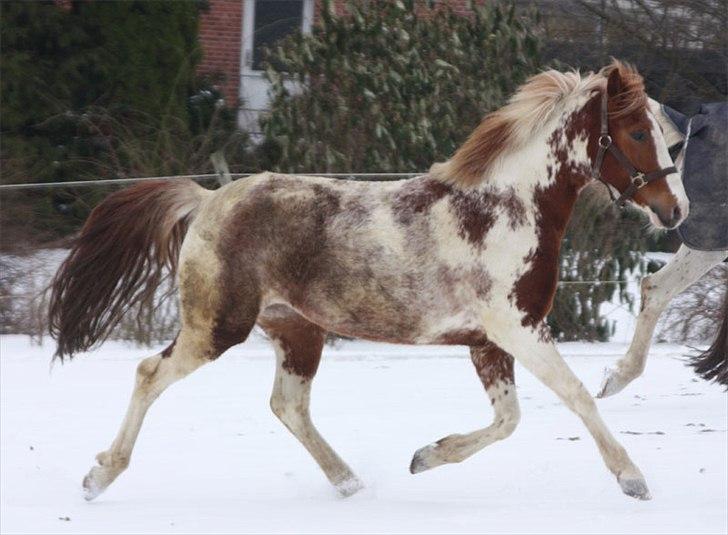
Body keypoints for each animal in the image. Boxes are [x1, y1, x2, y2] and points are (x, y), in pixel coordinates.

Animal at [47, 60, 688, 504]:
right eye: (635, 132)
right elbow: (577, 395)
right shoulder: (519, 329)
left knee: (288, 406)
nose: (675, 210)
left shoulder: (488, 343)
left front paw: (425, 457)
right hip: (217, 326)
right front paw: (633, 480)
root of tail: (207, 200)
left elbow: (509, 420)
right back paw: (98, 476)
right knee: (149, 374)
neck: (505, 209)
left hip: (297, 330)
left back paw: (350, 482)